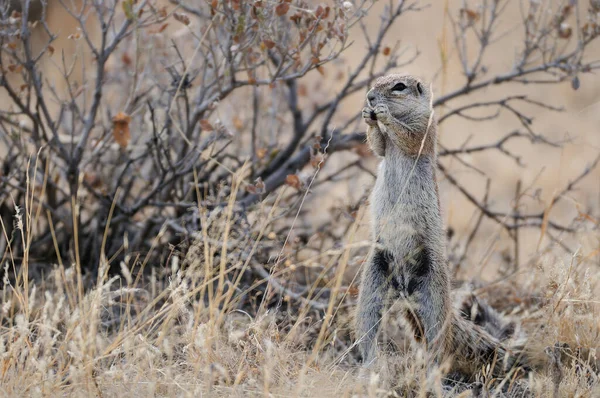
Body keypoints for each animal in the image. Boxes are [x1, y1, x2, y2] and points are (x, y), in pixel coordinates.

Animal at [354, 74, 528, 376]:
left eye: (398, 87)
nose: (370, 97)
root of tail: (403, 289)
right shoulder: (385, 147)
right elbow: (378, 146)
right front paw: (369, 118)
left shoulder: (425, 129)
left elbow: (409, 138)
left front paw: (384, 115)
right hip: (373, 285)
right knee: (369, 329)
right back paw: (371, 366)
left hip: (434, 298)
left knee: (439, 343)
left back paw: (431, 373)